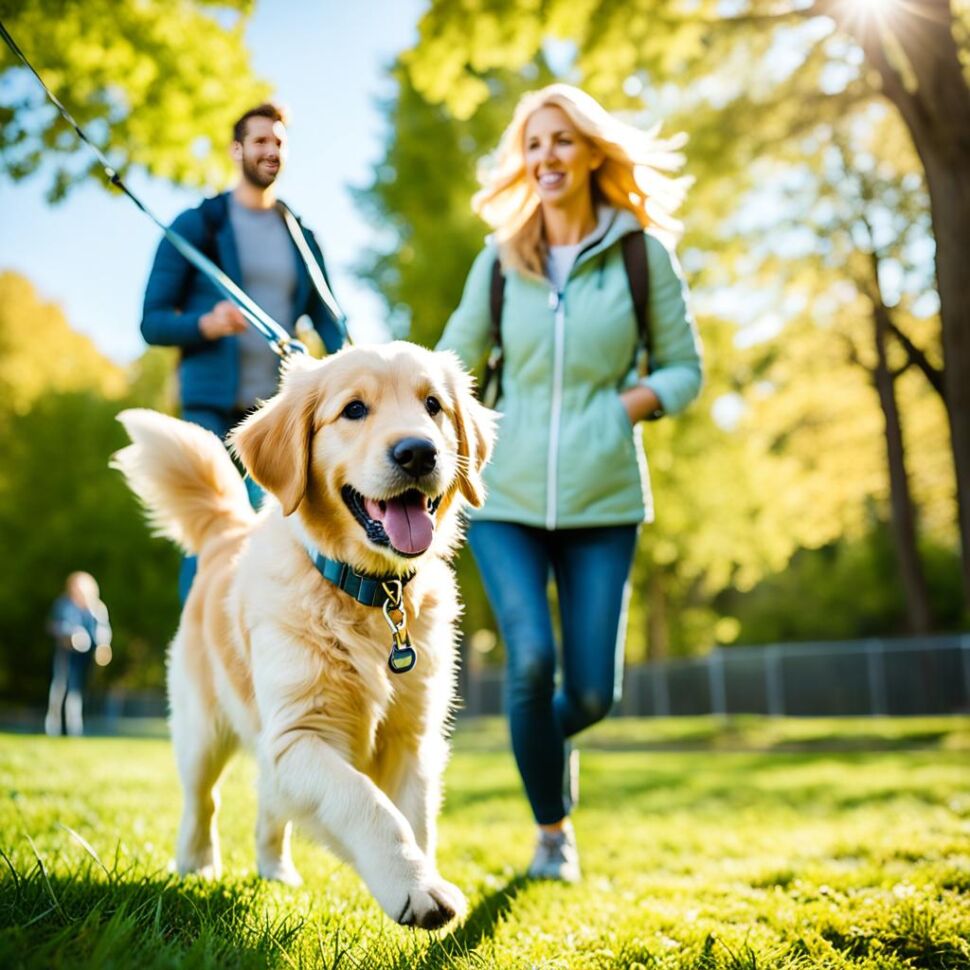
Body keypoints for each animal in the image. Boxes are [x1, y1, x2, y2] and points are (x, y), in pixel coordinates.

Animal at [111, 344, 492, 928]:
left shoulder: (412, 737)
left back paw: (276, 873)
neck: (370, 593)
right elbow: (368, 803)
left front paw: (422, 878)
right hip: (201, 728)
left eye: (433, 406)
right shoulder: (298, 733)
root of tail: (228, 531)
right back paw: (196, 866)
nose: (418, 453)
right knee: (202, 800)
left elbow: (416, 819)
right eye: (354, 409)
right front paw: (413, 887)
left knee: (269, 807)